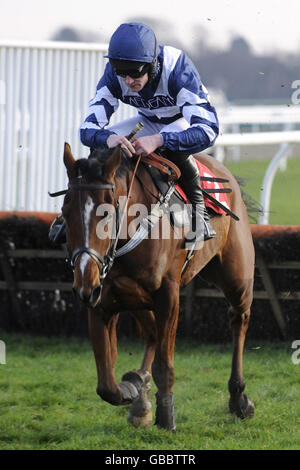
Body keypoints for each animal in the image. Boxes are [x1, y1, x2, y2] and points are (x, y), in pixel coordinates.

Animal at [61, 142, 255, 430]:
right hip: (135, 298)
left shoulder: (168, 296)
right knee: (151, 333)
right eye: (66, 212)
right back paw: (140, 395)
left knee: (238, 318)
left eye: (107, 213)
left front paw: (166, 416)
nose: (84, 281)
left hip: (237, 277)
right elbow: (106, 383)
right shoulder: (100, 299)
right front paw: (133, 388)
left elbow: (164, 365)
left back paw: (238, 397)